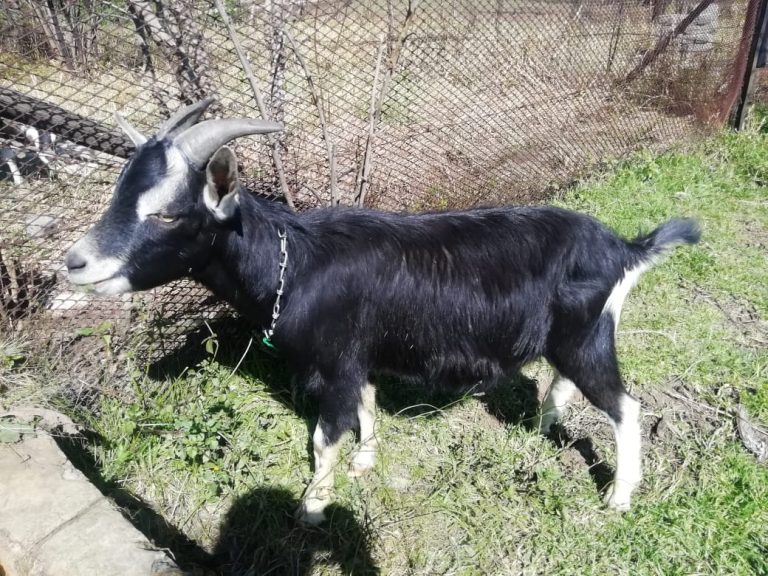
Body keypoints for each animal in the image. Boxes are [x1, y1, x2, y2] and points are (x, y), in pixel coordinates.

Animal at [66, 100, 700, 524]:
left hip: (587, 337)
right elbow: (367, 405)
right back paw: (544, 428)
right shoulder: (360, 354)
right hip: (574, 334)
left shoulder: (336, 362)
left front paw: (313, 506)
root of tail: (625, 247)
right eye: (119, 195)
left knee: (624, 407)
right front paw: (366, 462)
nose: (74, 263)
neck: (293, 264)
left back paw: (619, 496)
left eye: (167, 214)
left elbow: (325, 436)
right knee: (565, 382)